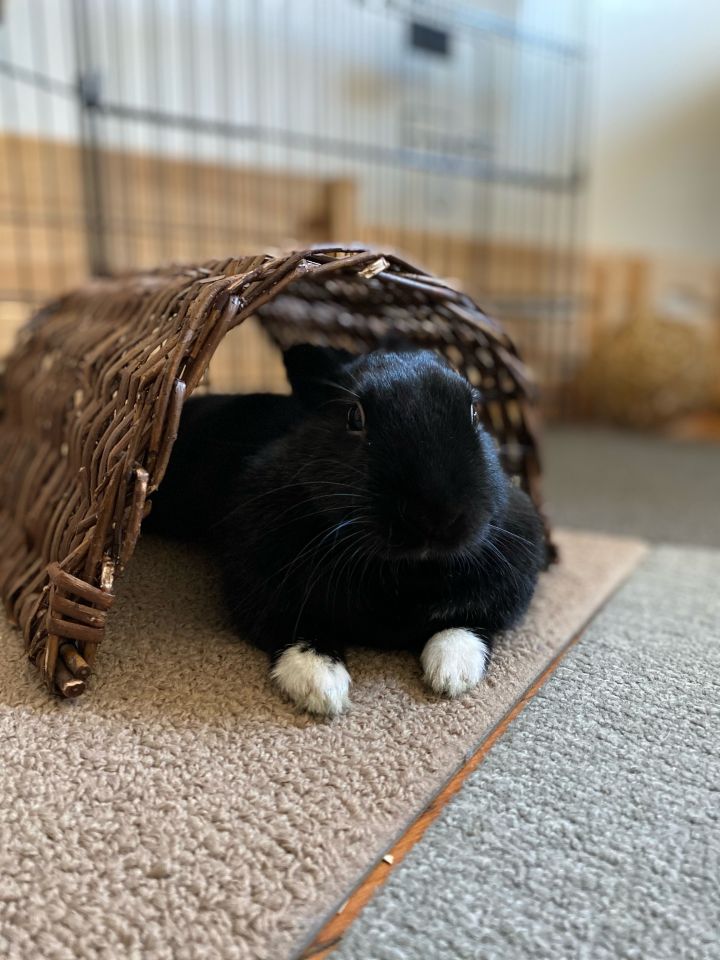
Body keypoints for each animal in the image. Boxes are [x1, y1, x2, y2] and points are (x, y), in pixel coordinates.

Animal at [146, 342, 548, 717]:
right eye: (355, 417)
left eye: (474, 412)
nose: (433, 516)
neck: (404, 571)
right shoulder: (262, 586)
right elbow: (298, 633)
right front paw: (323, 691)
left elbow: (466, 627)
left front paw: (451, 676)